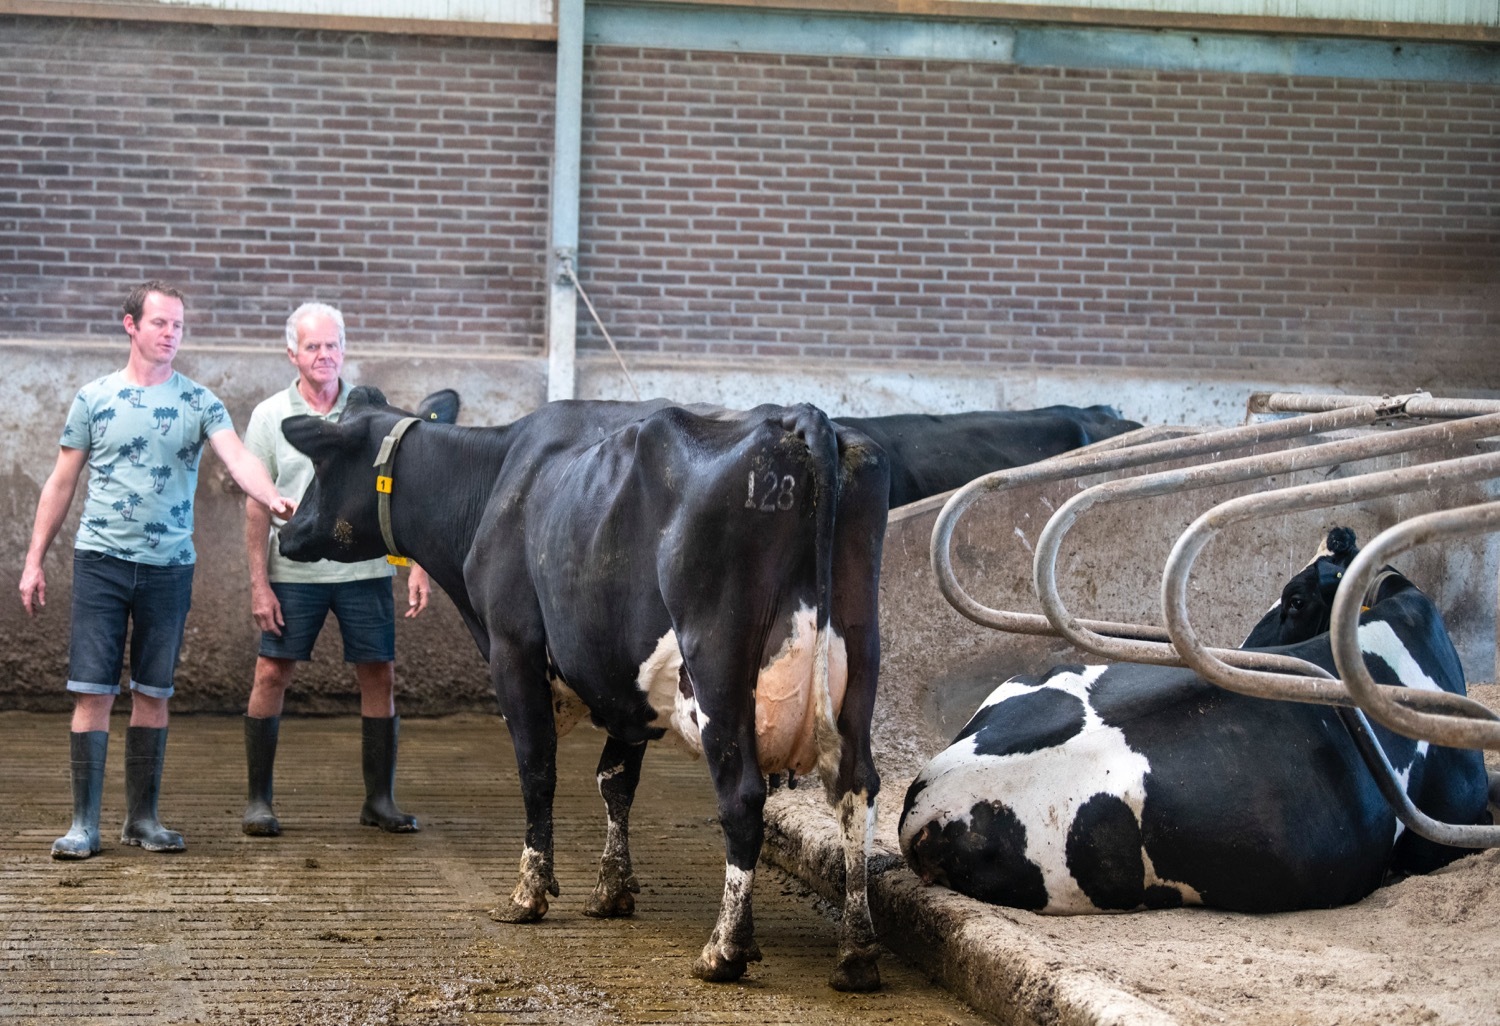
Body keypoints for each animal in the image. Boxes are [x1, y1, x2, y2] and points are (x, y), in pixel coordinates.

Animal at [276, 390, 888, 990]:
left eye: (322, 461)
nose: (285, 531)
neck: (497, 477)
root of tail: (800, 417)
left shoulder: (513, 648)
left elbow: (537, 771)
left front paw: (528, 894)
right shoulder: (624, 681)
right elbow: (615, 781)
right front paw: (611, 891)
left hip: (717, 661)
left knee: (742, 797)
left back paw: (724, 950)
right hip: (860, 660)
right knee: (856, 790)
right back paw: (856, 951)